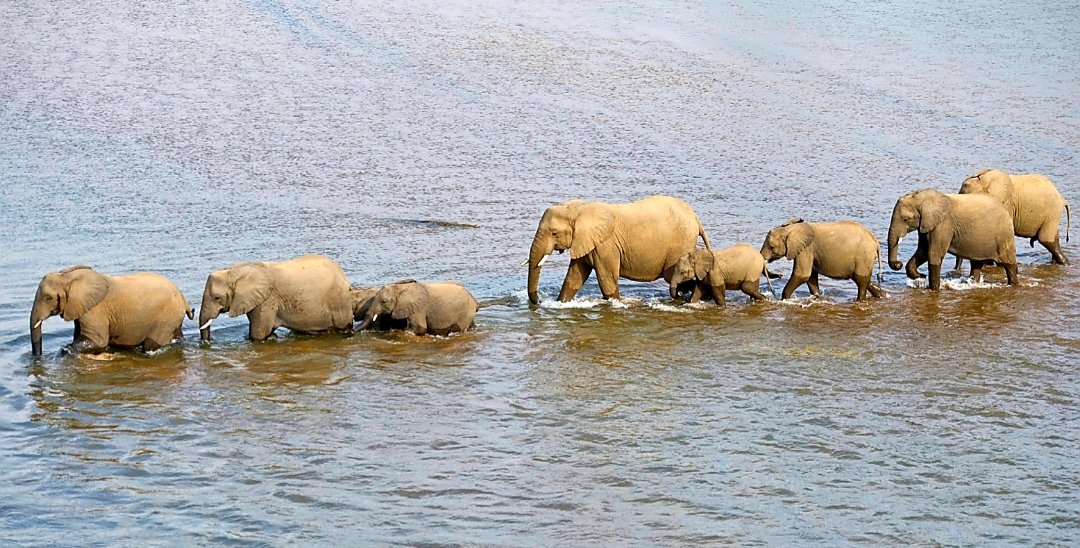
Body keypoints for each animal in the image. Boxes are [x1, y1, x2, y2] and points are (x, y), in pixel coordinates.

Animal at [30, 265, 193, 356]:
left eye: (48, 297)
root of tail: (183, 298)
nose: (38, 357)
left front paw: (65, 350)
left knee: (150, 345)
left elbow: (97, 341)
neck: (68, 276)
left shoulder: (95, 310)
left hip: (165, 318)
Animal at [198, 254, 354, 341]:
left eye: (217, 298)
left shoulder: (266, 300)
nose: (209, 341)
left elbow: (259, 334)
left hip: (339, 301)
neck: (235, 271)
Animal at [526, 195, 712, 304]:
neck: (580, 209)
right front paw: (560, 303)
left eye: (554, 233)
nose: (539, 302)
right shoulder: (586, 243)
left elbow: (607, 280)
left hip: (681, 244)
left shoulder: (605, 246)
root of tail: (695, 217)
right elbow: (574, 277)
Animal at [887, 188, 1018, 290]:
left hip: (1004, 236)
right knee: (976, 264)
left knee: (1008, 264)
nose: (898, 264)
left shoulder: (943, 225)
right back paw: (973, 284)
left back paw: (1013, 285)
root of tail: (1005, 209)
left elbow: (934, 254)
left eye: (906, 219)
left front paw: (934, 289)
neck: (923, 198)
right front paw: (920, 276)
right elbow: (923, 251)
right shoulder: (926, 225)